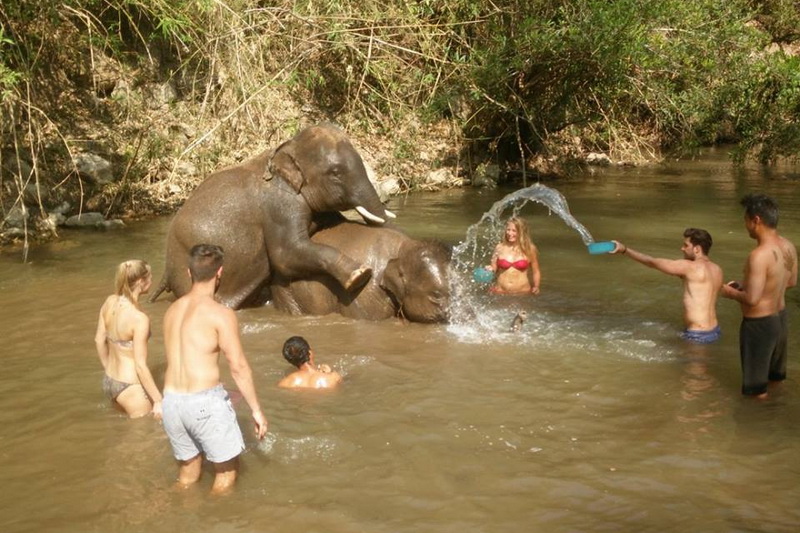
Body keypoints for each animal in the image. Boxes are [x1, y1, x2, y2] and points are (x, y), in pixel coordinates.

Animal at [149, 122, 394, 308]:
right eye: (335, 173)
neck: (287, 148)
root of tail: (167, 269)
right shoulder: (280, 206)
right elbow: (285, 255)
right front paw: (359, 275)